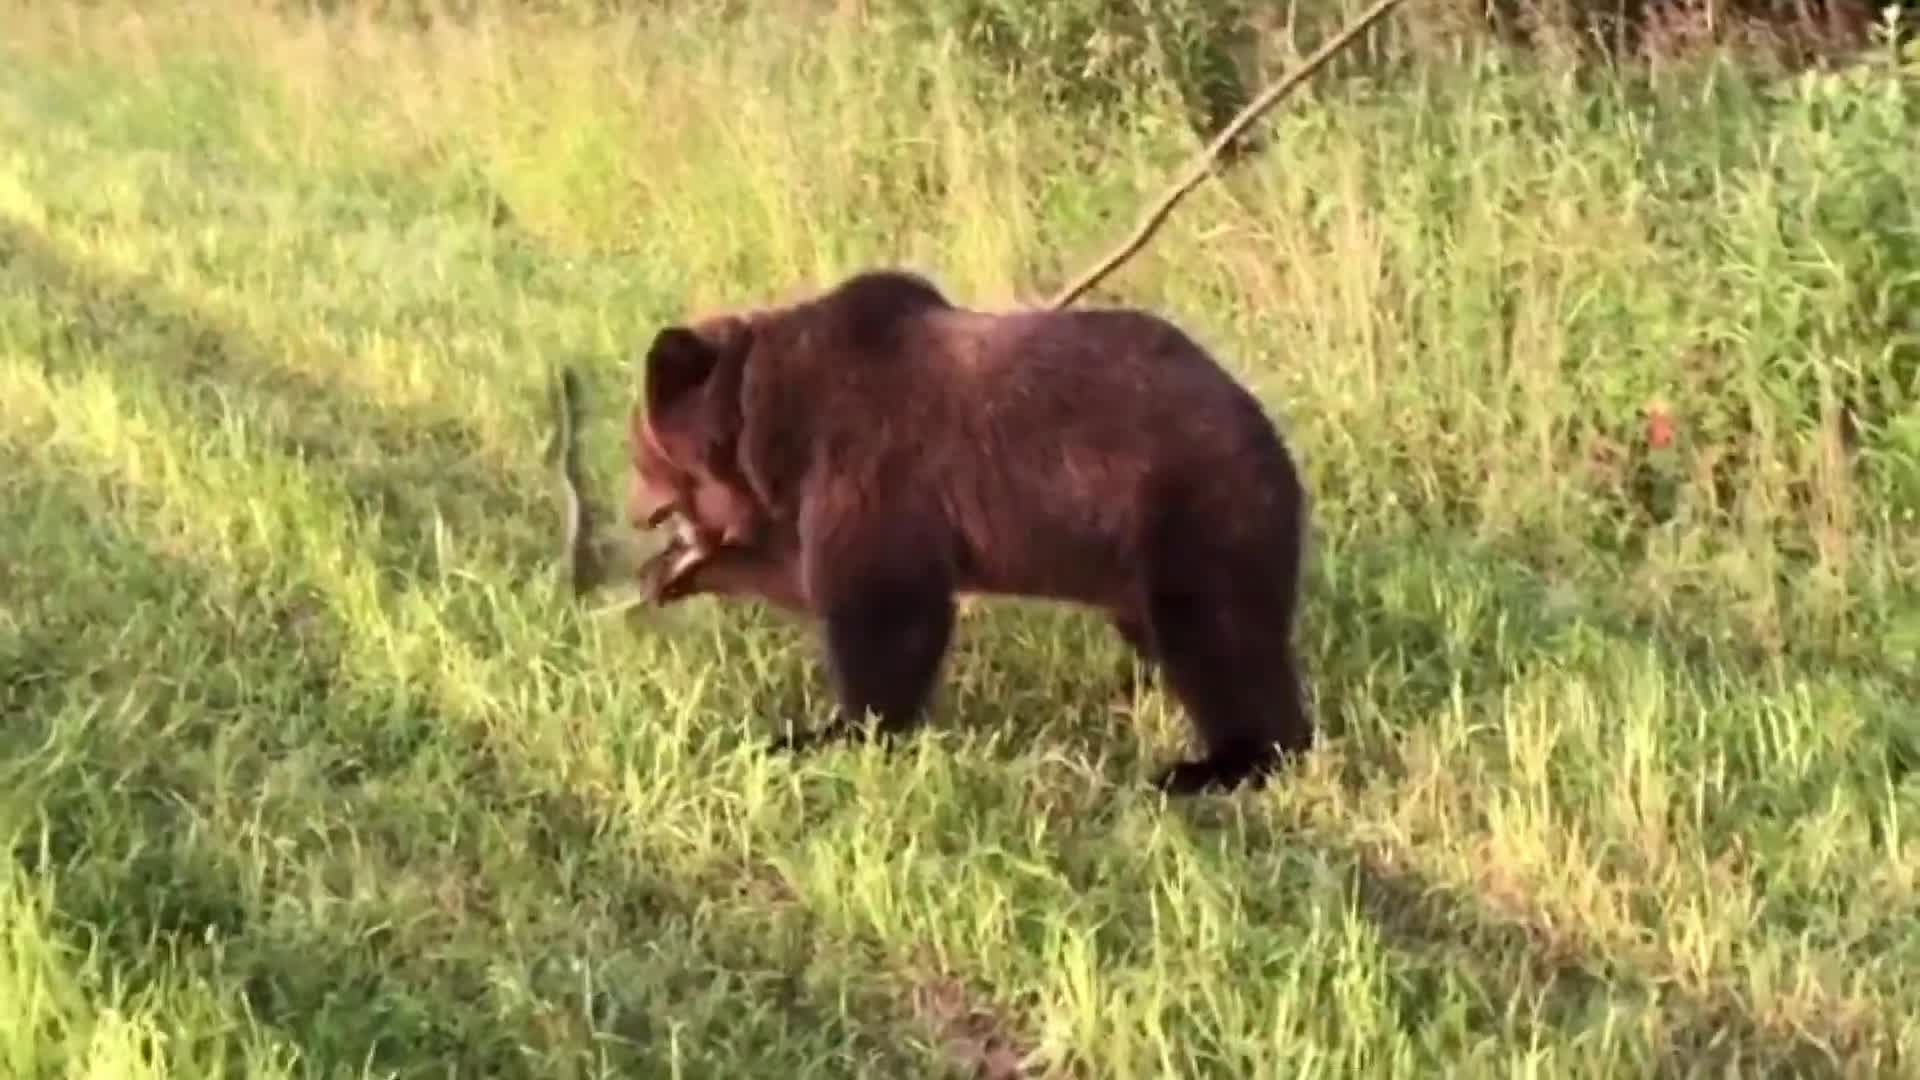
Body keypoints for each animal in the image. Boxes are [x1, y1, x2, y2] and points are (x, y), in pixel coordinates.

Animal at [627, 269, 1312, 794]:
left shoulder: (871, 461)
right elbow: (796, 571)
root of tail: (1276, 444)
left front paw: (831, 731)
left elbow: (883, 610)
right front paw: (672, 572)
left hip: (1188, 505)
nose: (634, 510)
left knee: (1218, 638)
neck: (769, 425)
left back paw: (1221, 763)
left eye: (638, 452)